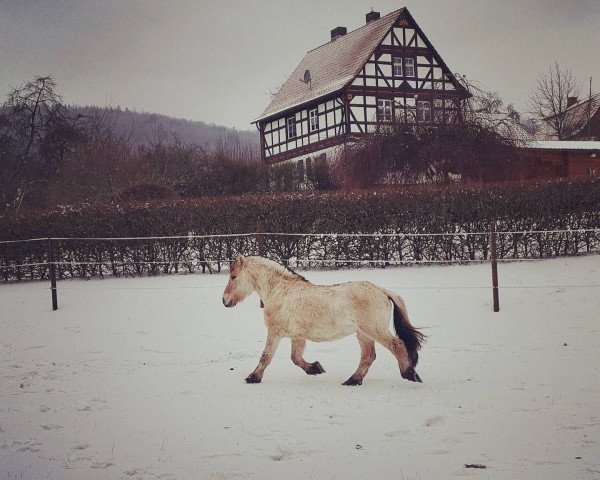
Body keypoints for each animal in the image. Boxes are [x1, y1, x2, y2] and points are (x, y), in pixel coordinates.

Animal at [221, 255, 426, 386]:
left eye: (233, 276)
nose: (224, 300)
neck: (280, 291)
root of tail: (383, 291)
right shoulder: (297, 336)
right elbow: (296, 358)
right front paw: (315, 368)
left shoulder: (275, 332)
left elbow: (266, 356)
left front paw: (253, 378)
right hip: (363, 333)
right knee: (368, 356)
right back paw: (353, 380)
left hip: (374, 329)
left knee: (397, 346)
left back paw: (409, 374)